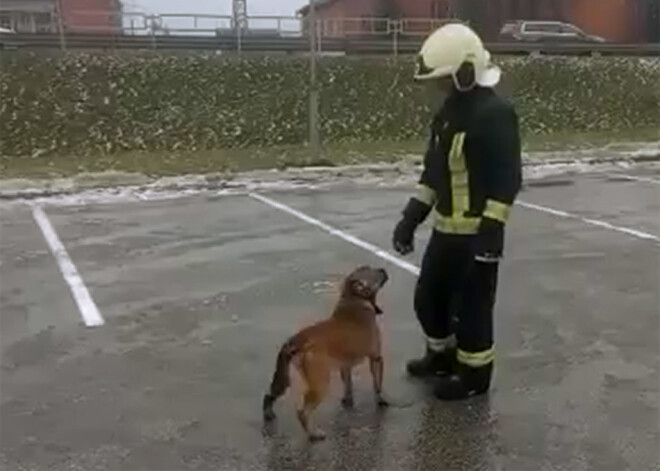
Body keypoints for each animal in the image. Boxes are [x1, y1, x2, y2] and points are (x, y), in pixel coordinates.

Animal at [262, 266, 390, 442]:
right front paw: (381, 400)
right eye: (370, 271)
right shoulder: (376, 358)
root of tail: (296, 340)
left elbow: (348, 385)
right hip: (320, 382)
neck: (353, 298)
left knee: (270, 394)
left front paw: (348, 401)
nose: (383, 269)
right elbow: (377, 384)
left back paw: (268, 413)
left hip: (286, 378)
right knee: (303, 412)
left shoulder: (345, 365)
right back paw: (313, 434)